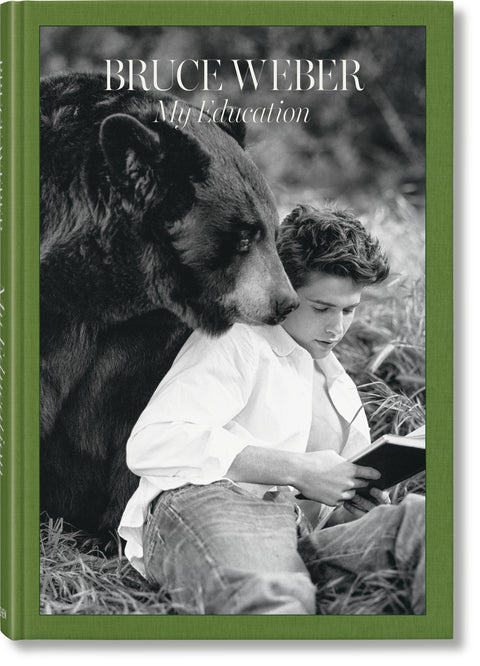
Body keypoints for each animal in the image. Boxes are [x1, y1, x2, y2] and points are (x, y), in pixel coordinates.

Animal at [40, 72, 298, 545]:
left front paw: (115, 533)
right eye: (243, 237)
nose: (285, 303)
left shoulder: (149, 333)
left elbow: (146, 417)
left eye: (272, 230)